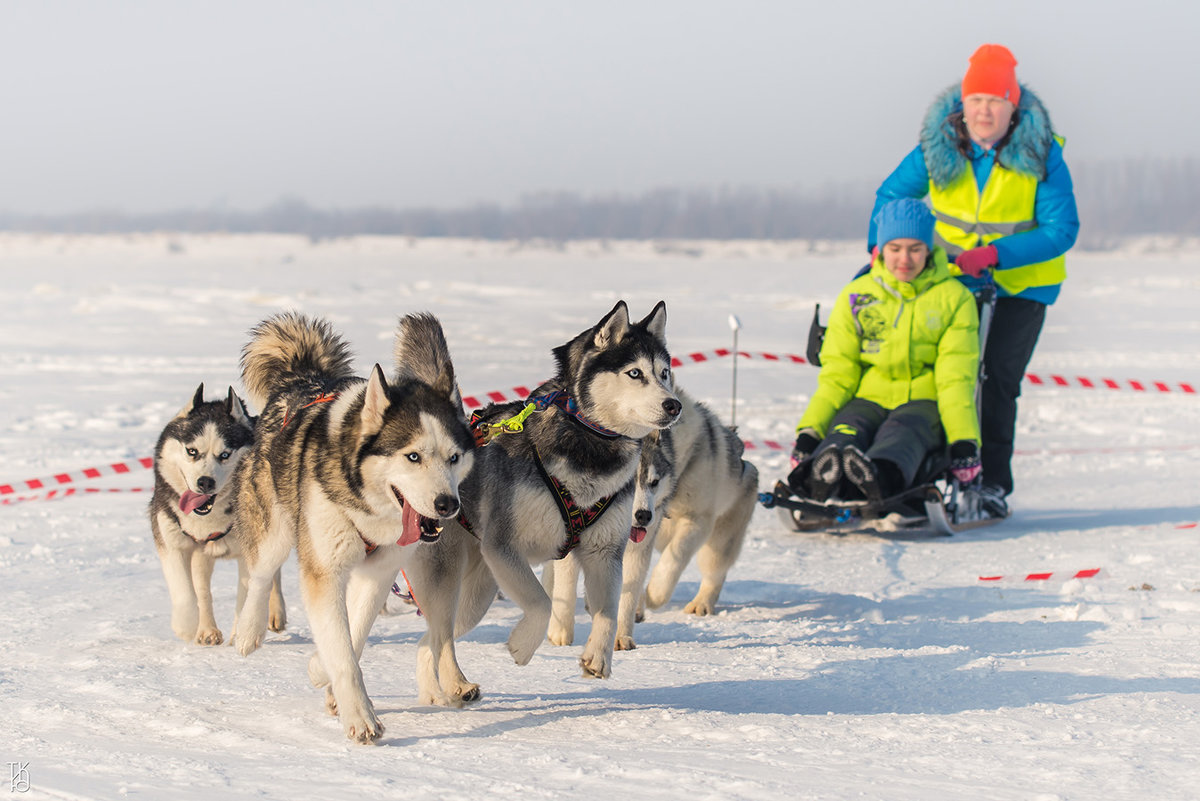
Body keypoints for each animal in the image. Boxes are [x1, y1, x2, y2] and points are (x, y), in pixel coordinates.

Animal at [149, 383, 285, 647]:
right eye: (192, 451)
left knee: (272, 574)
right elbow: (185, 592)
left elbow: (251, 589)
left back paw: (274, 613)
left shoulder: (248, 551)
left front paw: (239, 634)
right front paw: (186, 626)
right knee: (202, 590)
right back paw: (207, 629)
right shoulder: (171, 542)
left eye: (225, 454)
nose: (205, 482)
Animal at [229, 309, 472, 743]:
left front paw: (321, 673)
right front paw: (360, 717)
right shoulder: (325, 571)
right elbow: (341, 649)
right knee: (260, 573)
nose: (447, 505)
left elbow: (352, 635)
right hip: (275, 525)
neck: (366, 506)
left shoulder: (380, 571)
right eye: (412, 457)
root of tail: (303, 378)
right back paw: (248, 632)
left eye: (454, 457)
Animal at [408, 299, 681, 700]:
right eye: (635, 373)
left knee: (429, 641)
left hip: (479, 592)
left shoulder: (604, 552)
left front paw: (598, 658)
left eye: (664, 373)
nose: (674, 405)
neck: (588, 446)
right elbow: (543, 602)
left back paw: (438, 693)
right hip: (451, 576)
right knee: (440, 636)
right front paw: (523, 645)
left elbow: (609, 610)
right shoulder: (505, 547)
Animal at [547, 386, 753, 652]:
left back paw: (700, 602)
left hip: (718, 537)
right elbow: (566, 583)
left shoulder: (694, 522)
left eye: (653, 482)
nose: (643, 515)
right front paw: (560, 631)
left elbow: (669, 562)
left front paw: (633, 621)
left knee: (713, 570)